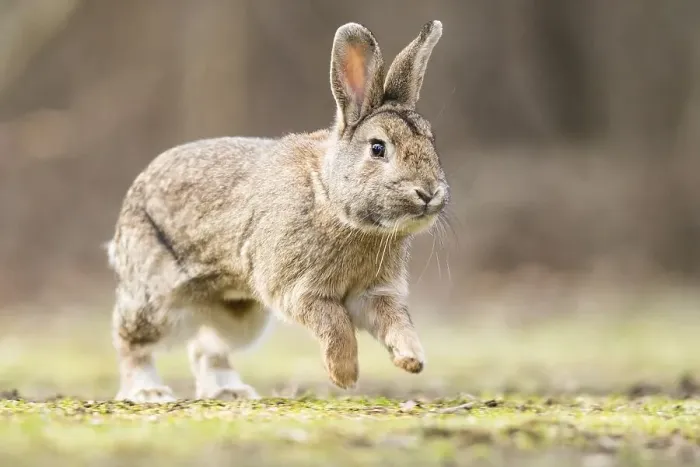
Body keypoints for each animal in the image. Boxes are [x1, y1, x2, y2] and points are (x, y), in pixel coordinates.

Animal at [106, 19, 449, 402]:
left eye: (431, 141)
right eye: (378, 148)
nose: (429, 193)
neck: (330, 198)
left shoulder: (375, 293)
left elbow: (397, 322)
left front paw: (411, 359)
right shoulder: (298, 289)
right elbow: (335, 324)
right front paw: (344, 375)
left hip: (239, 317)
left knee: (206, 347)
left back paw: (230, 392)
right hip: (157, 297)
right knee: (131, 341)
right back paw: (148, 392)